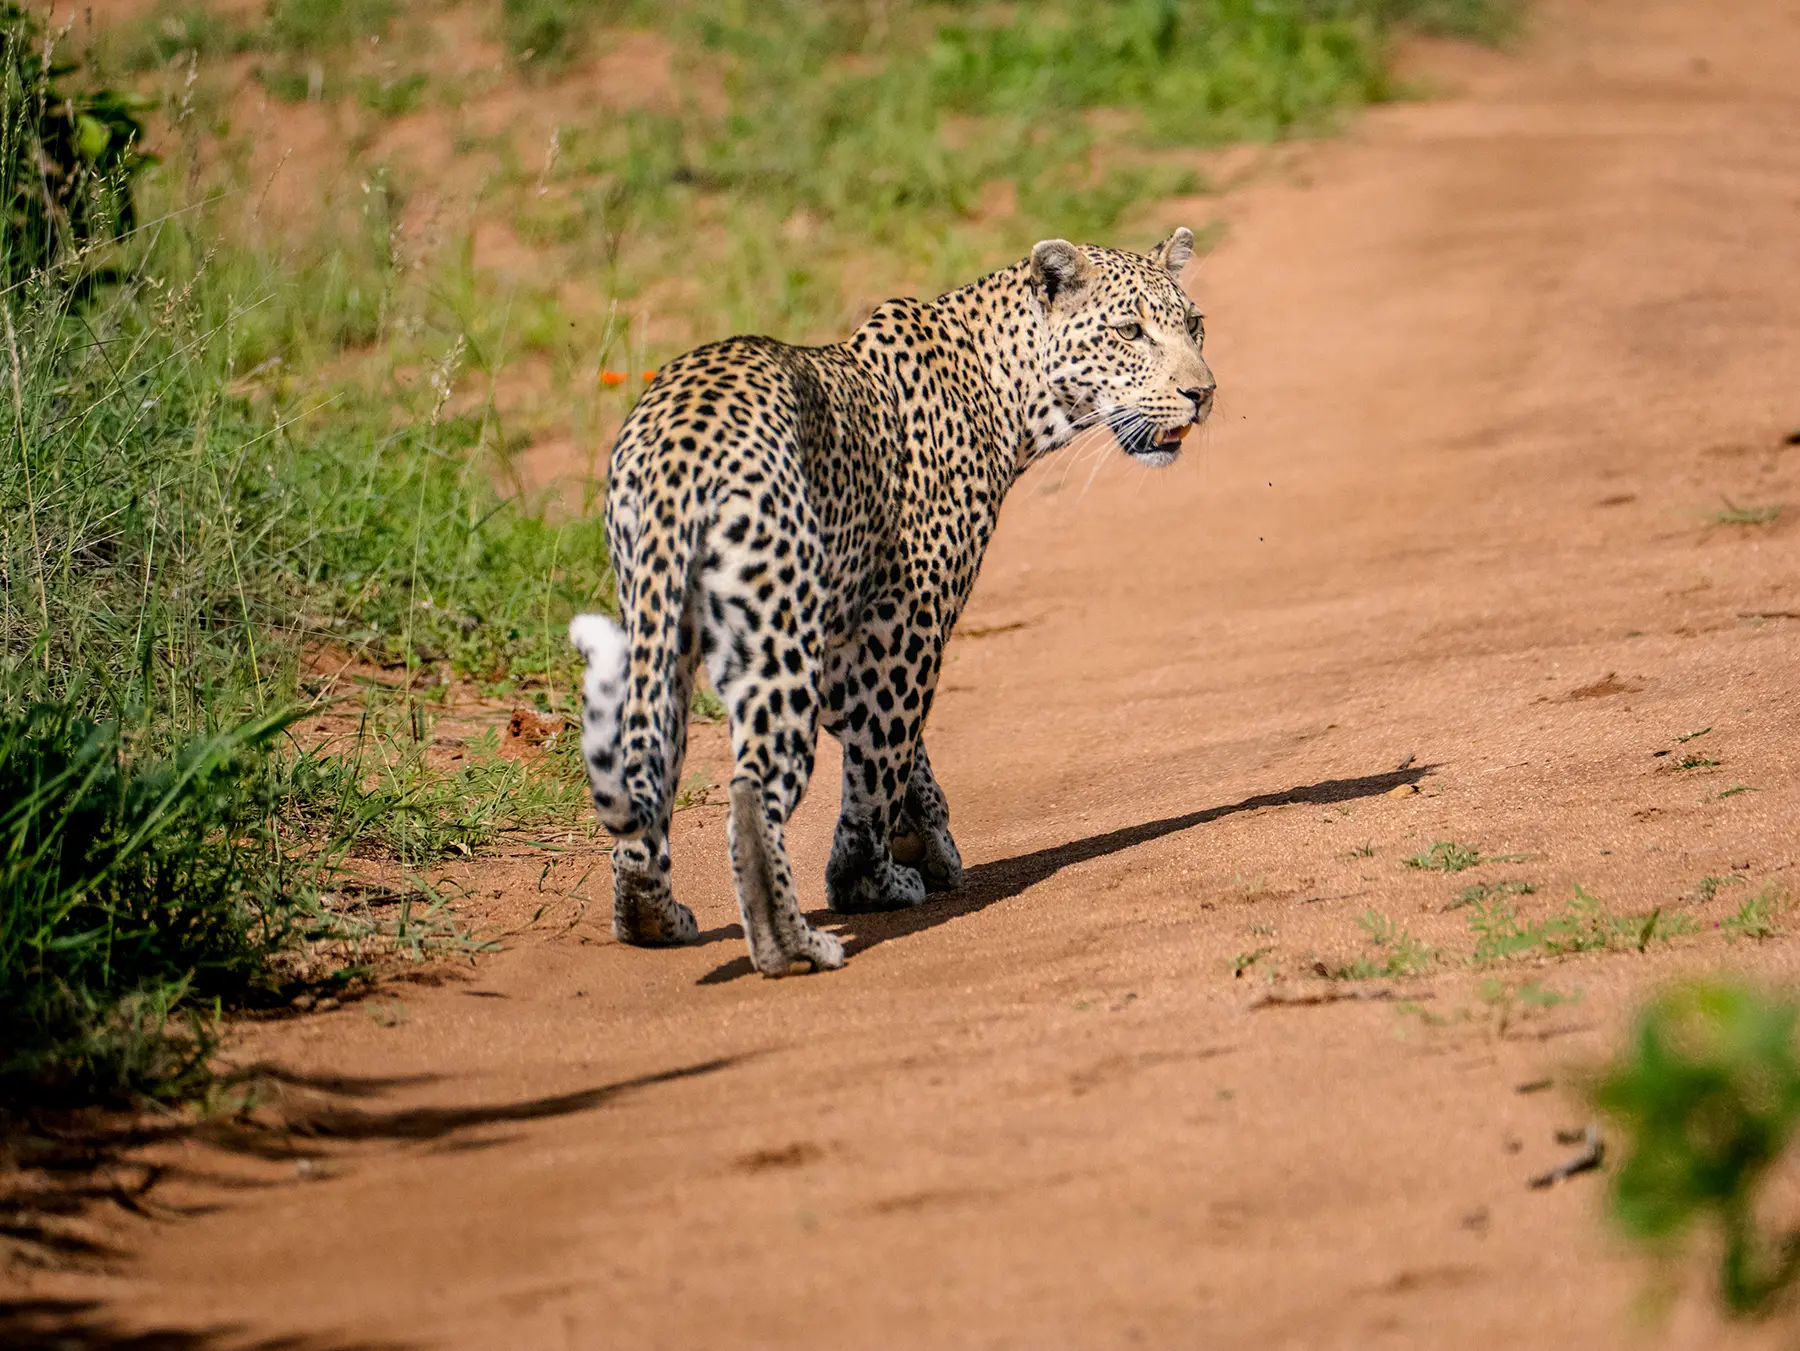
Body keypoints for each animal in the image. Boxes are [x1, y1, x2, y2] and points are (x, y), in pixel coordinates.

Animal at [570, 228, 1215, 977]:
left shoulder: (847, 638)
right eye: (1129, 331)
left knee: (647, 763)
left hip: (662, 625)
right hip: (773, 641)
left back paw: (652, 915)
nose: (1203, 393)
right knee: (752, 794)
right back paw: (794, 946)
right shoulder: (907, 620)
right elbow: (882, 756)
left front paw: (926, 840)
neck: (1010, 394)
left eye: (1193, 325)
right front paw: (869, 880)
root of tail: (676, 448)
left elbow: (898, 757)